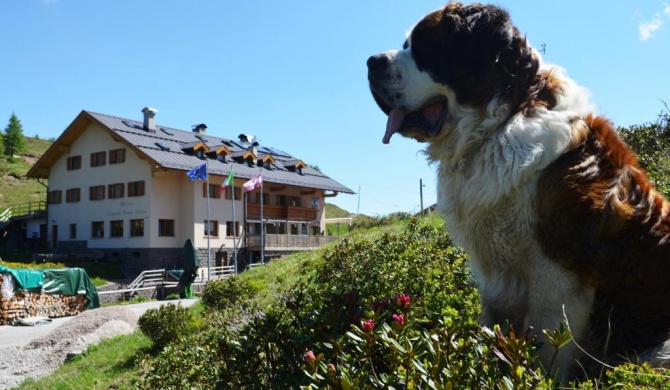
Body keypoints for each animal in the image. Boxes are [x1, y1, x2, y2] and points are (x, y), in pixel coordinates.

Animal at [370, 0, 670, 378]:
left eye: (425, 46)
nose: (371, 62)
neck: (500, 124)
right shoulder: (494, 277)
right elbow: (490, 324)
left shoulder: (555, 275)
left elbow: (546, 345)